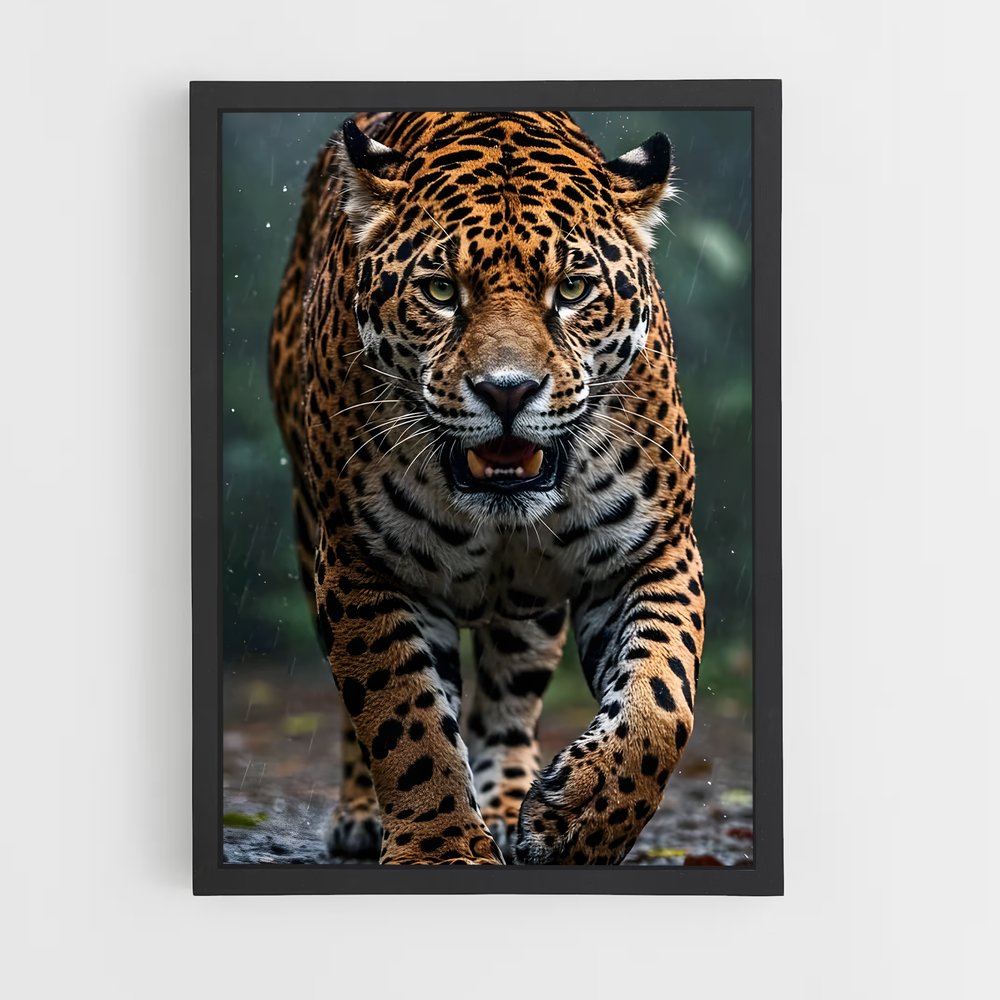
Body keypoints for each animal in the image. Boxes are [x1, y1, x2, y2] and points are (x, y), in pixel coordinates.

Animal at [268, 111, 705, 865]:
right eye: (442, 292)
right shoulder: (360, 563)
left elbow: (661, 702)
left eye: (572, 291)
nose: (508, 391)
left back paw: (507, 805)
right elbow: (403, 717)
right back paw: (364, 815)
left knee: (510, 694)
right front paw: (440, 847)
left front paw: (577, 823)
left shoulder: (655, 550)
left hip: (530, 606)